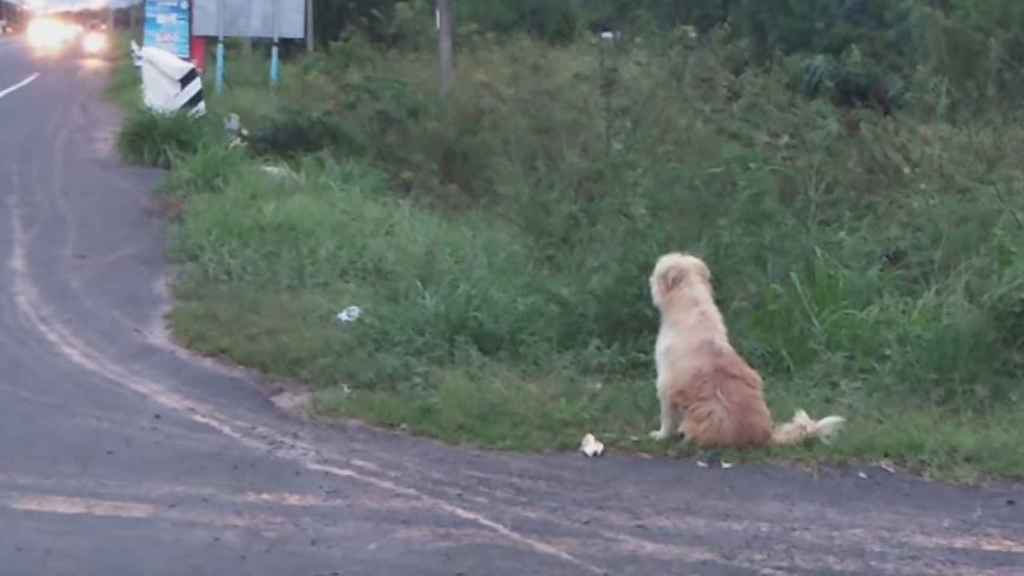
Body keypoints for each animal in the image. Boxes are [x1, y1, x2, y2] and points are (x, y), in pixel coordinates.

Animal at [643, 252, 843, 448]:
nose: (649, 278)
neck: (692, 302)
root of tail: (766, 436)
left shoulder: (665, 384)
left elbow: (667, 418)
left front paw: (660, 436)